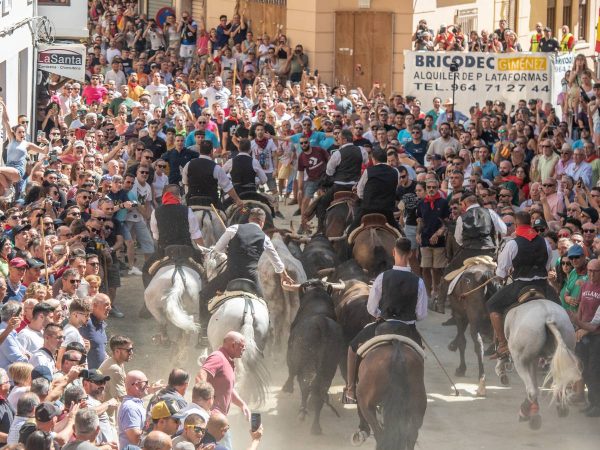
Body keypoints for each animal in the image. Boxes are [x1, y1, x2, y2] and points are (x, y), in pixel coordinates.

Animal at [496, 298, 580, 428]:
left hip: (520, 360)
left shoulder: (529, 359)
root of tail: (548, 317)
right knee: (558, 382)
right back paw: (560, 407)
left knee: (532, 391)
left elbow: (533, 384)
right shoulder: (535, 359)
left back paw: (527, 413)